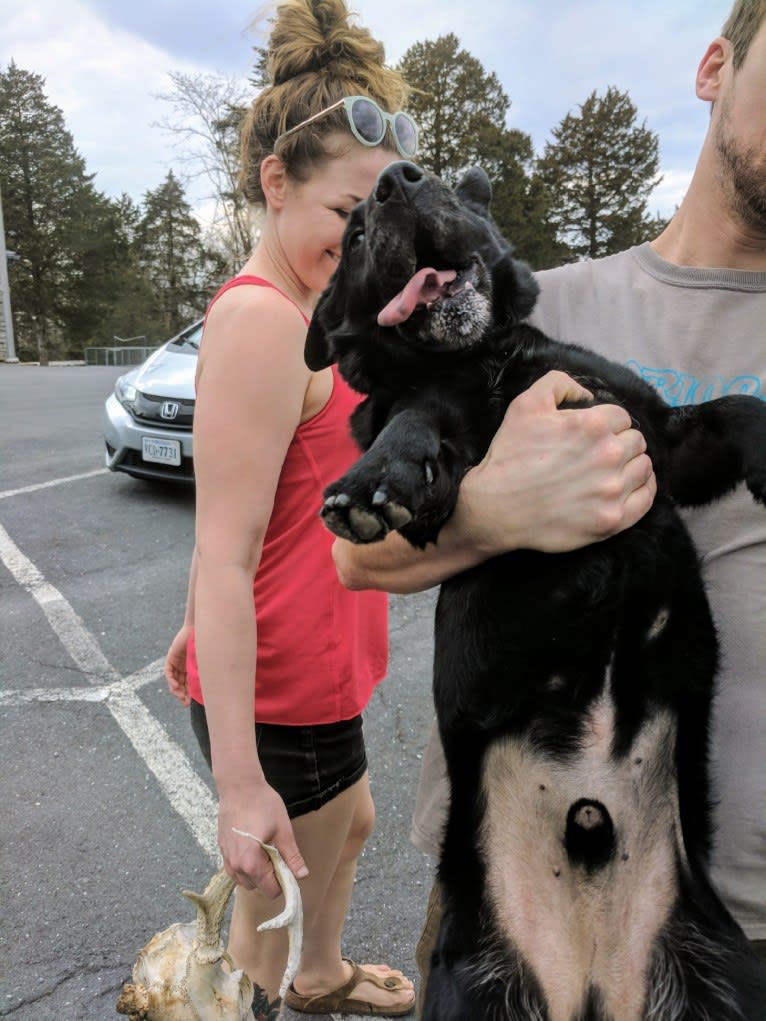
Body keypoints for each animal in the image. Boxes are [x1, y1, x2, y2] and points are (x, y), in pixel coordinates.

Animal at [306, 161, 766, 1021]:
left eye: (436, 177)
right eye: (351, 237)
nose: (395, 179)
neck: (484, 356)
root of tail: (588, 974)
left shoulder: (661, 441)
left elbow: (739, 409)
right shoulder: (442, 443)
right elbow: (414, 419)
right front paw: (376, 477)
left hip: (718, 976)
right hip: (475, 987)